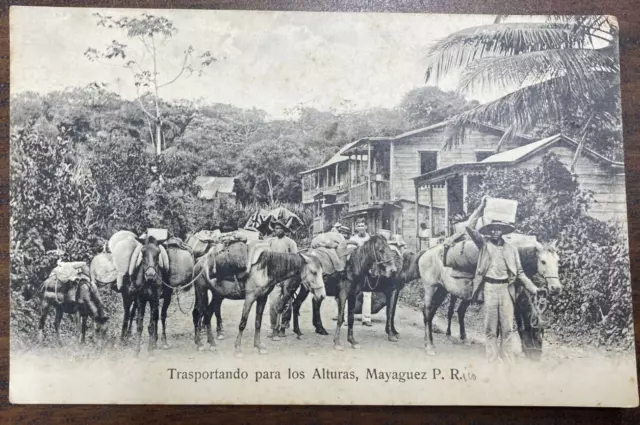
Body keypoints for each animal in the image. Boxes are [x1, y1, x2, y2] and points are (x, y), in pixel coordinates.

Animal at [192, 243, 324, 356]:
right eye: (314, 272)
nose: (322, 295)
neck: (265, 269)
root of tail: (199, 263)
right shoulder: (250, 298)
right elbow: (243, 323)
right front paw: (238, 348)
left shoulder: (262, 298)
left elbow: (258, 322)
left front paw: (259, 346)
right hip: (201, 290)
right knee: (198, 313)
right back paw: (199, 344)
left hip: (217, 295)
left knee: (207, 315)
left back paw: (212, 344)